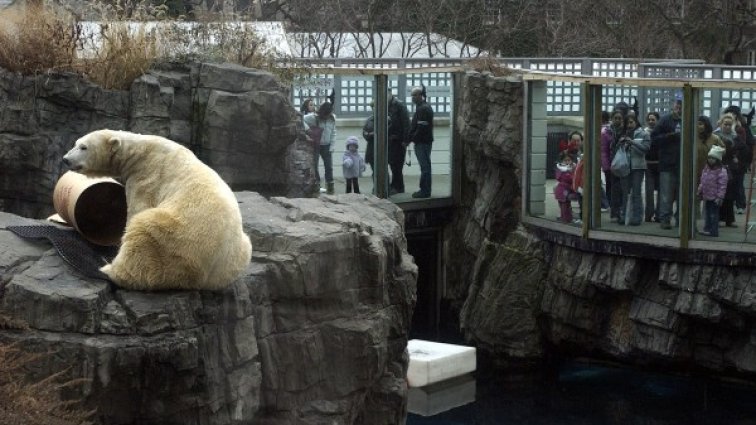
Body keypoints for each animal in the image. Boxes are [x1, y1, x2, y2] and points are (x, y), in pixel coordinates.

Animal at [63, 127, 252, 290]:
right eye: (75, 143)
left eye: (83, 147)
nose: (65, 159)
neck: (139, 152)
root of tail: (205, 277)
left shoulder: (146, 177)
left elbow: (137, 209)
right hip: (237, 255)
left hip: (175, 236)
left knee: (143, 236)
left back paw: (109, 269)